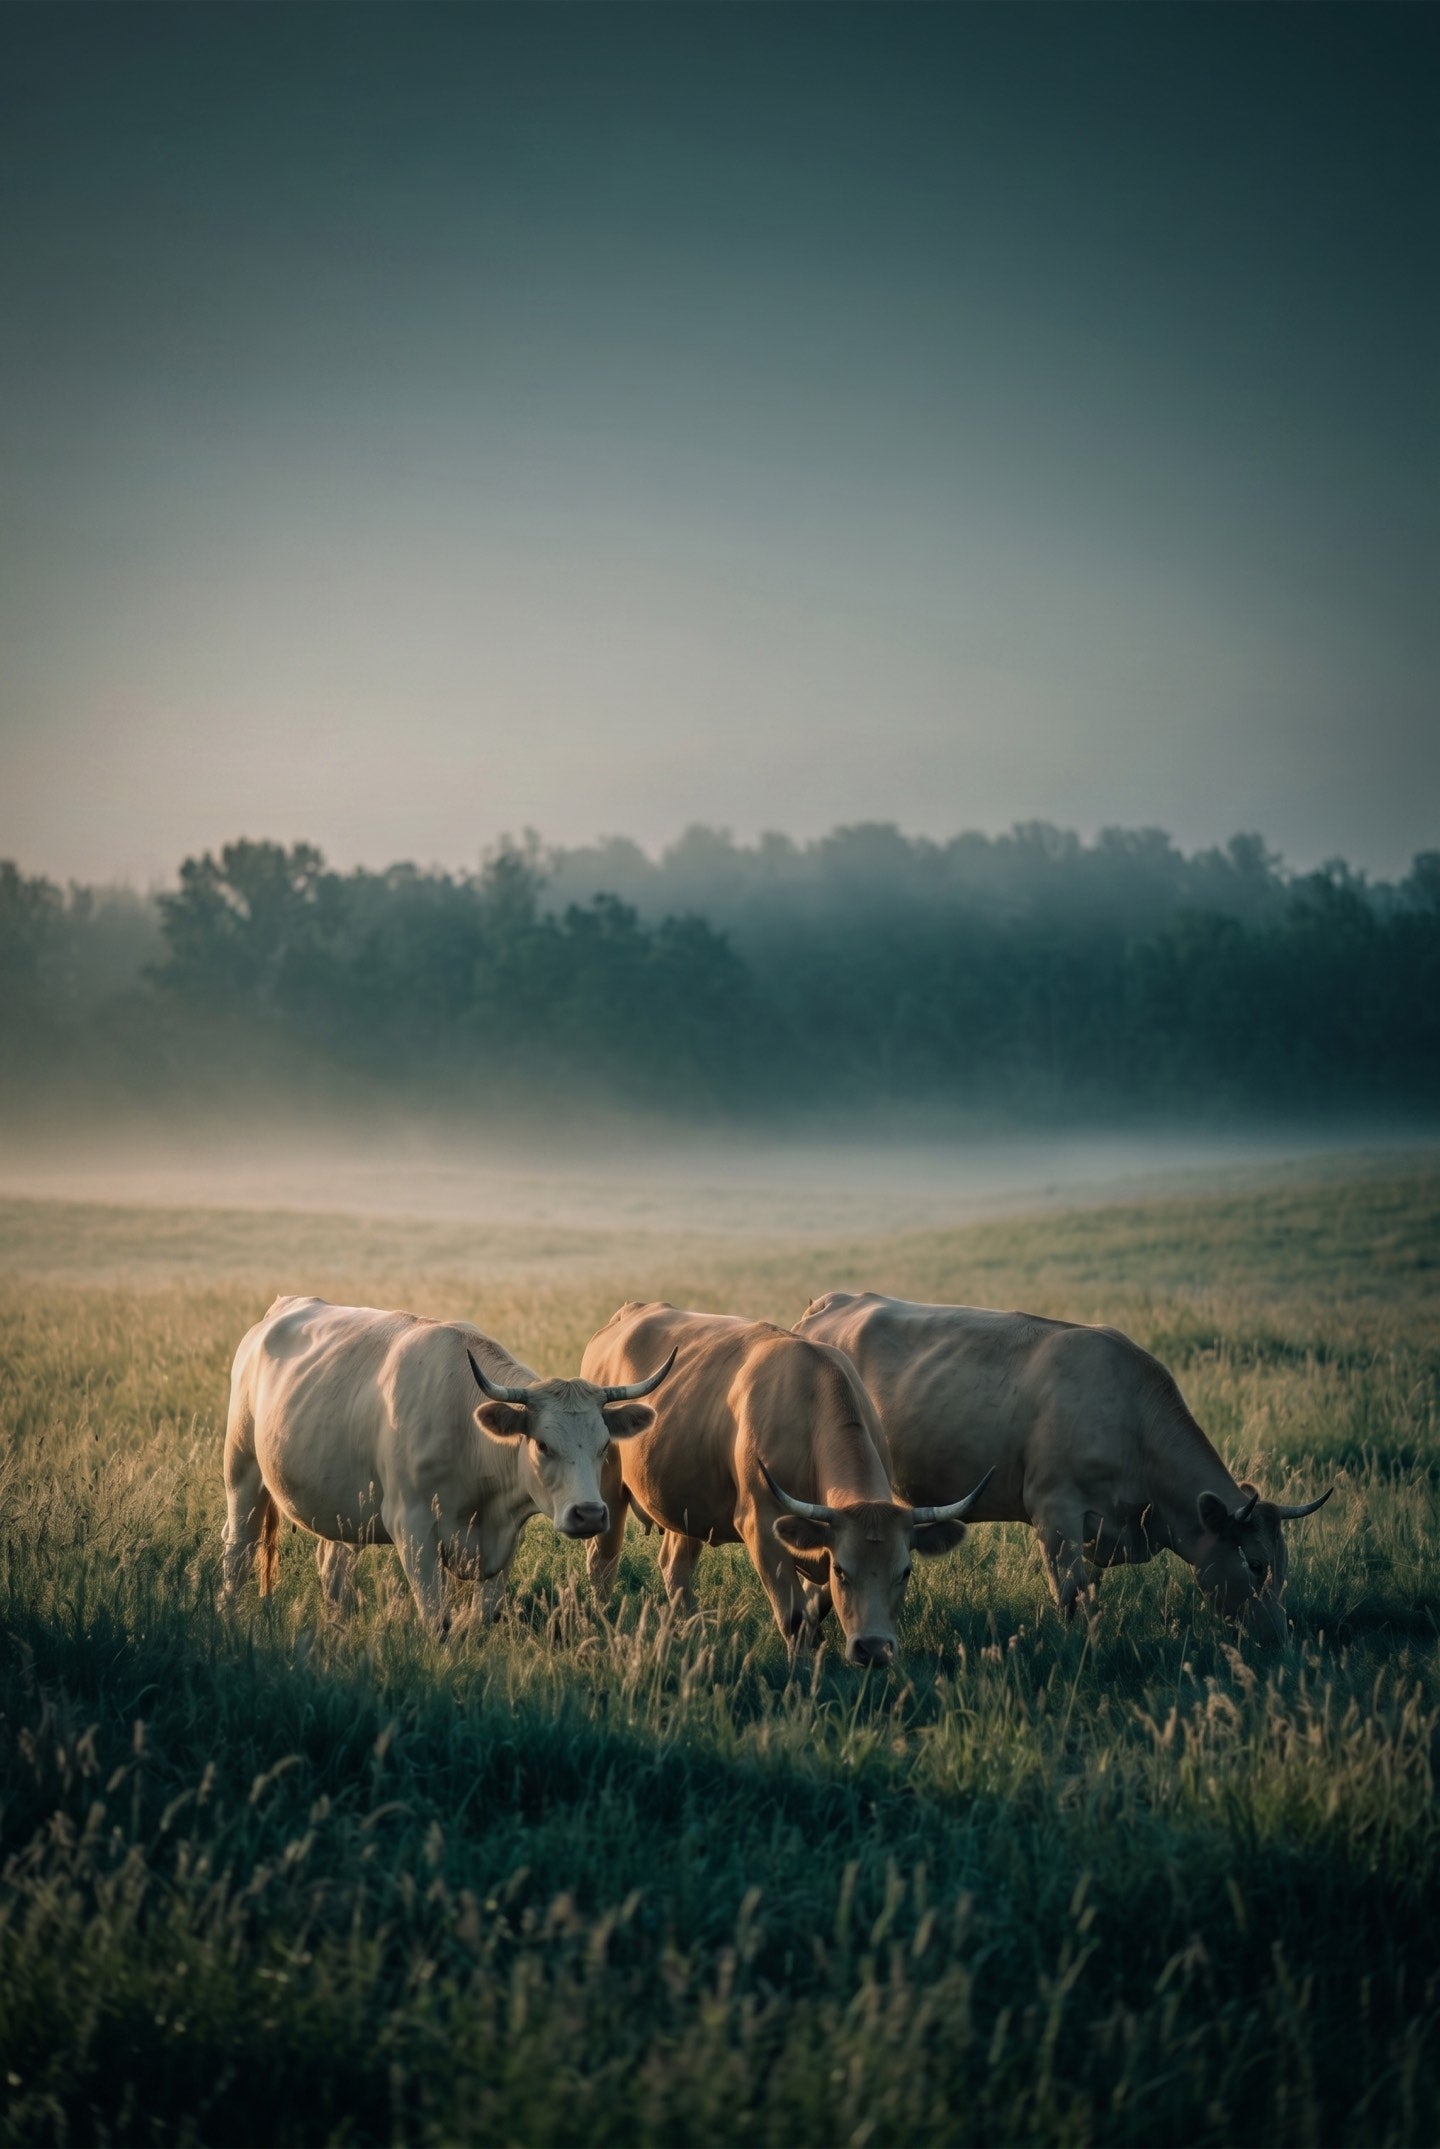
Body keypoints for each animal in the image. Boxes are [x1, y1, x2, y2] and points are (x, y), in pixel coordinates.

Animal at [221, 1295, 674, 1635]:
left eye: (604, 1446)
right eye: (543, 1445)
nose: (590, 1514)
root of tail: (280, 1309)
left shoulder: (504, 1539)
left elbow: (481, 1617)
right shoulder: (413, 1528)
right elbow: (436, 1621)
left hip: (343, 1511)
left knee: (333, 1568)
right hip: (243, 1473)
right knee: (238, 1551)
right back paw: (228, 1614)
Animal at [580, 1301, 991, 1666]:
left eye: (905, 1571)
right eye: (843, 1571)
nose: (873, 1649)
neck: (809, 1405)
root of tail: (626, 1315)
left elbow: (814, 1611)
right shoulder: (762, 1527)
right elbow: (794, 1618)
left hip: (687, 1507)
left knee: (674, 1568)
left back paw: (692, 1631)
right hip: (608, 1490)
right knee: (603, 1562)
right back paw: (600, 1621)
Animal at [793, 1291, 1333, 1644]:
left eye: (1284, 1566)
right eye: (1255, 1564)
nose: (1279, 1640)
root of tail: (828, 1303)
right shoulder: (1056, 1514)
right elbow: (1071, 1595)